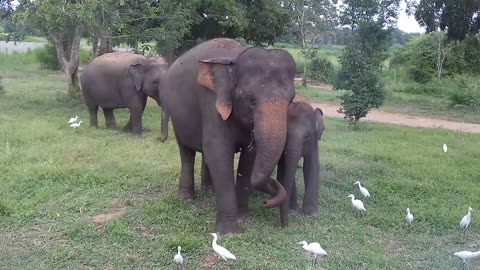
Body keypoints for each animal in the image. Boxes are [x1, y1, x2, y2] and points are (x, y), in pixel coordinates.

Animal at [163, 38, 294, 234]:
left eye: (291, 100)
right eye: (250, 99)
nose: (265, 201)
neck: (235, 58)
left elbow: (249, 158)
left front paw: (243, 217)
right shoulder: (211, 101)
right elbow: (219, 152)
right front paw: (229, 232)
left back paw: (210, 192)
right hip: (176, 116)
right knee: (186, 153)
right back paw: (186, 198)